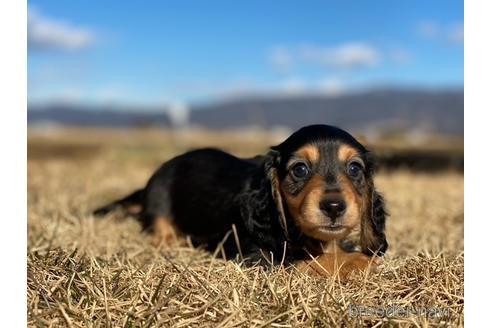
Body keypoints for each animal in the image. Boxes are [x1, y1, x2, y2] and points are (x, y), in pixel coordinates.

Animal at [94, 125, 388, 276]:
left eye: (354, 168)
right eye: (300, 169)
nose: (334, 206)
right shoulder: (254, 256)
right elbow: (306, 259)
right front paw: (358, 261)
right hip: (160, 207)